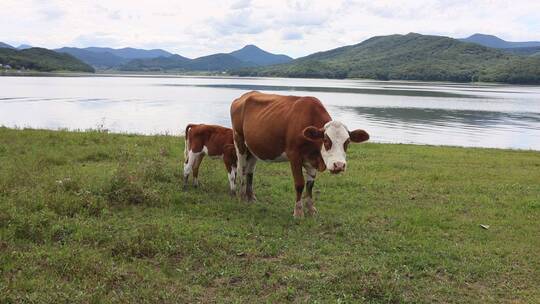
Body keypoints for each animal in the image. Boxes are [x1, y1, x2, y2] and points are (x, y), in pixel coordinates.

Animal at [230, 91, 370, 217]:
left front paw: (311, 209)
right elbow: (299, 184)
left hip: (253, 147)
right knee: (241, 169)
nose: (339, 165)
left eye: (347, 142)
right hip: (239, 140)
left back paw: (250, 197)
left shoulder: (313, 160)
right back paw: (241, 196)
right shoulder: (294, 155)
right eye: (326, 140)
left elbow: (310, 185)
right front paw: (298, 211)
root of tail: (243, 96)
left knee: (250, 171)